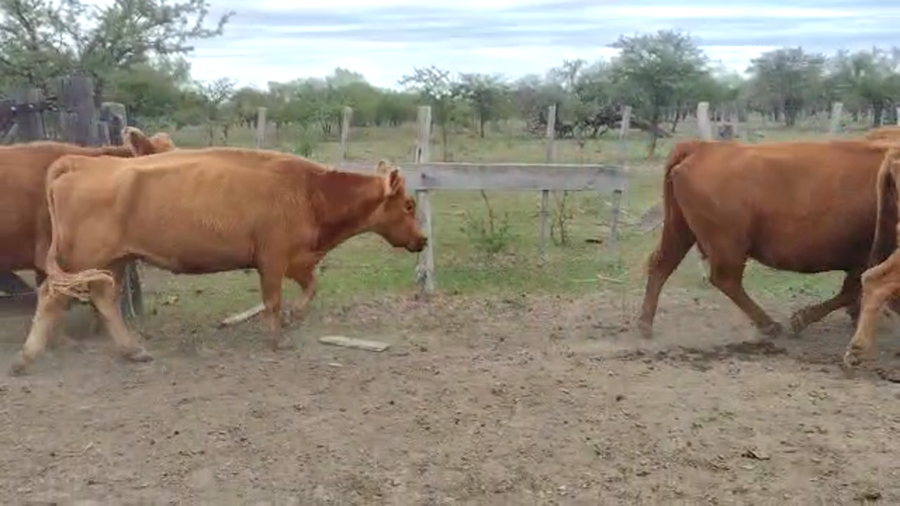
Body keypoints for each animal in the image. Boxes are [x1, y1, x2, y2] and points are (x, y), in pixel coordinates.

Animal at [10, 148, 427, 375]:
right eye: (408, 204)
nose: (422, 240)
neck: (310, 192)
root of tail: (83, 163)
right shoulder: (273, 259)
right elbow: (273, 300)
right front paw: (278, 338)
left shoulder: (297, 260)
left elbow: (311, 286)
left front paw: (295, 317)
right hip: (83, 258)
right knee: (52, 296)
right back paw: (26, 358)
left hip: (115, 261)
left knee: (102, 299)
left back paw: (133, 351)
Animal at [637, 138, 900, 341]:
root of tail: (704, 147)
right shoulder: (866, 259)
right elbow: (851, 291)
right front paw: (801, 319)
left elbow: (852, 291)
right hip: (728, 246)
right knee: (725, 280)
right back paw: (769, 325)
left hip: (679, 231)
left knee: (661, 265)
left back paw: (645, 325)